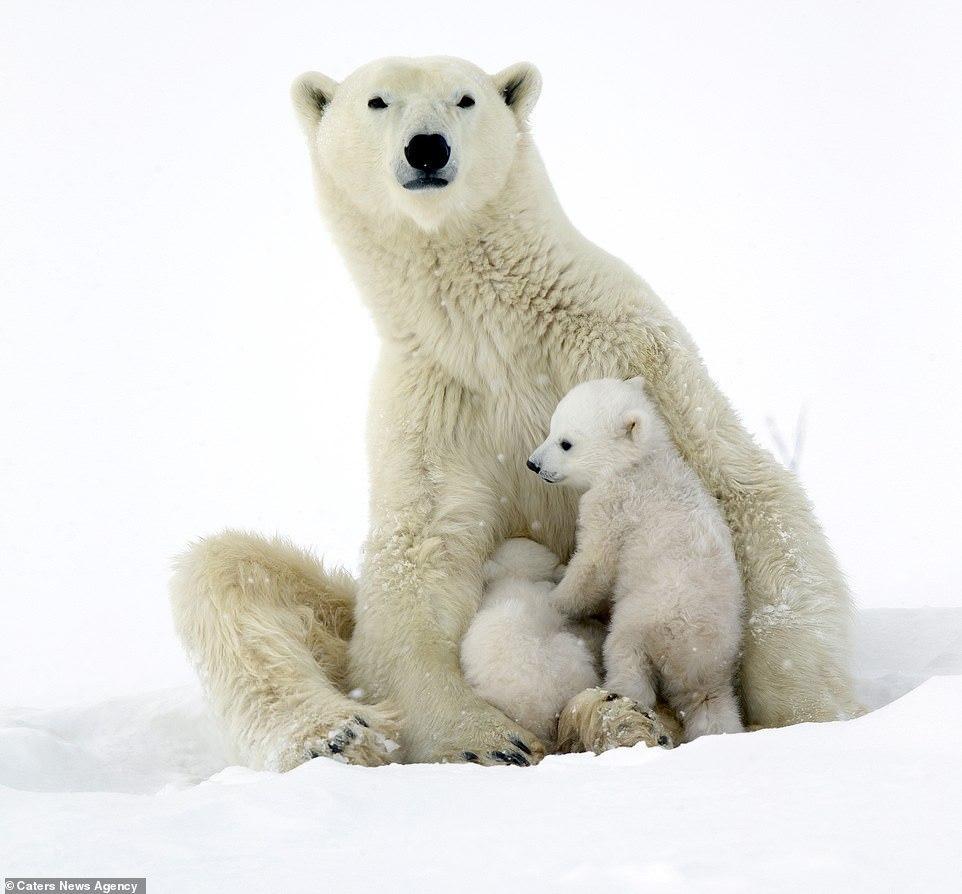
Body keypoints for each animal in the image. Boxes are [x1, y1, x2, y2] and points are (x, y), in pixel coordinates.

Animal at [169, 54, 860, 768]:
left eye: (465, 98)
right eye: (377, 101)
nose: (427, 147)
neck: (495, 333)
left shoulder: (625, 344)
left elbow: (743, 487)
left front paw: (804, 716)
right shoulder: (434, 404)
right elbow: (419, 558)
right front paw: (485, 739)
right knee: (222, 572)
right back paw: (343, 733)